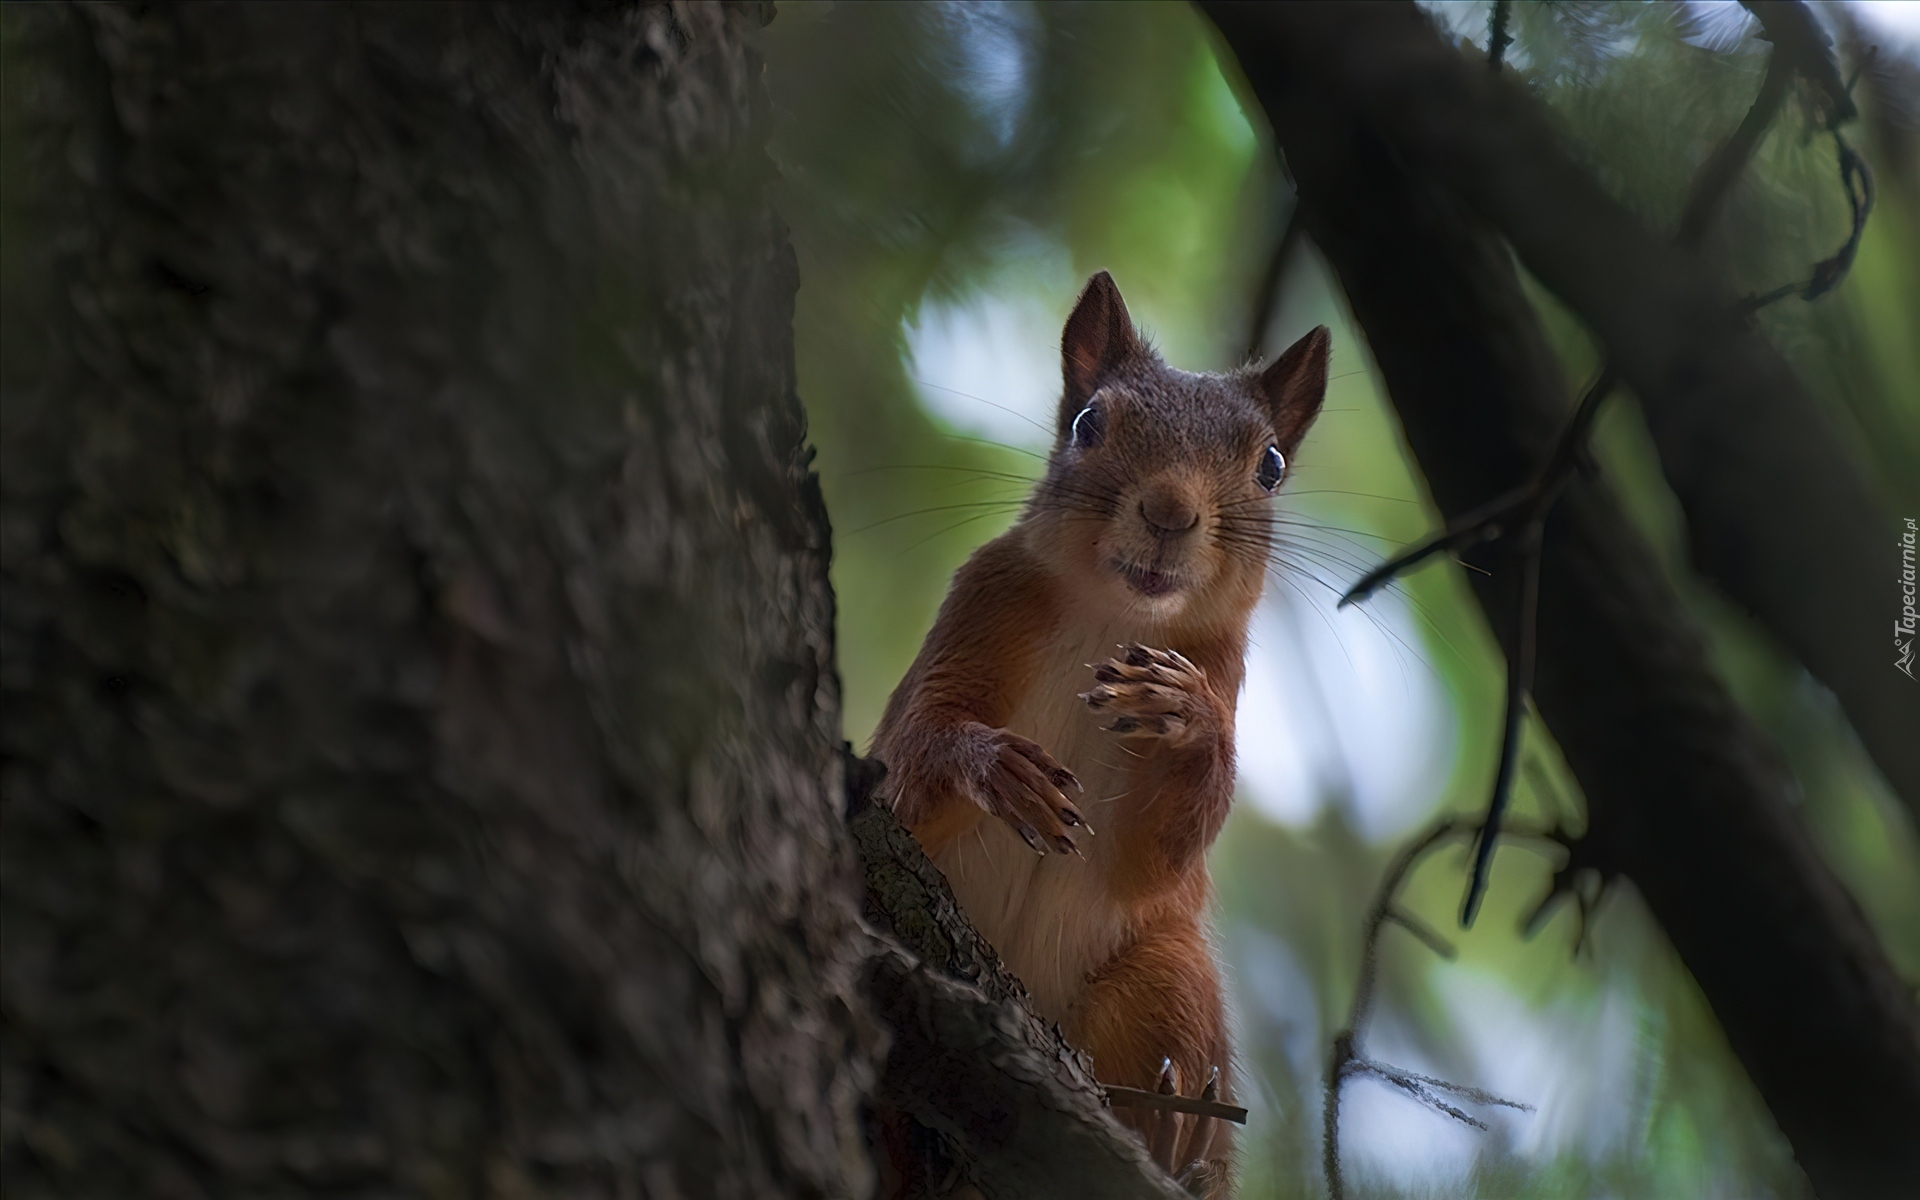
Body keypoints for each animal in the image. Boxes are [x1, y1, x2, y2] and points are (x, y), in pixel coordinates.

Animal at [879, 268, 1328, 1182]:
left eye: (1270, 466)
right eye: (1088, 423)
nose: (1169, 510)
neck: (1111, 615)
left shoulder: (1220, 667)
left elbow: (1152, 857)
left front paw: (1187, 717)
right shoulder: (977, 608)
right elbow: (916, 757)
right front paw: (994, 767)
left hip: (1166, 971)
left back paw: (1169, 1130)